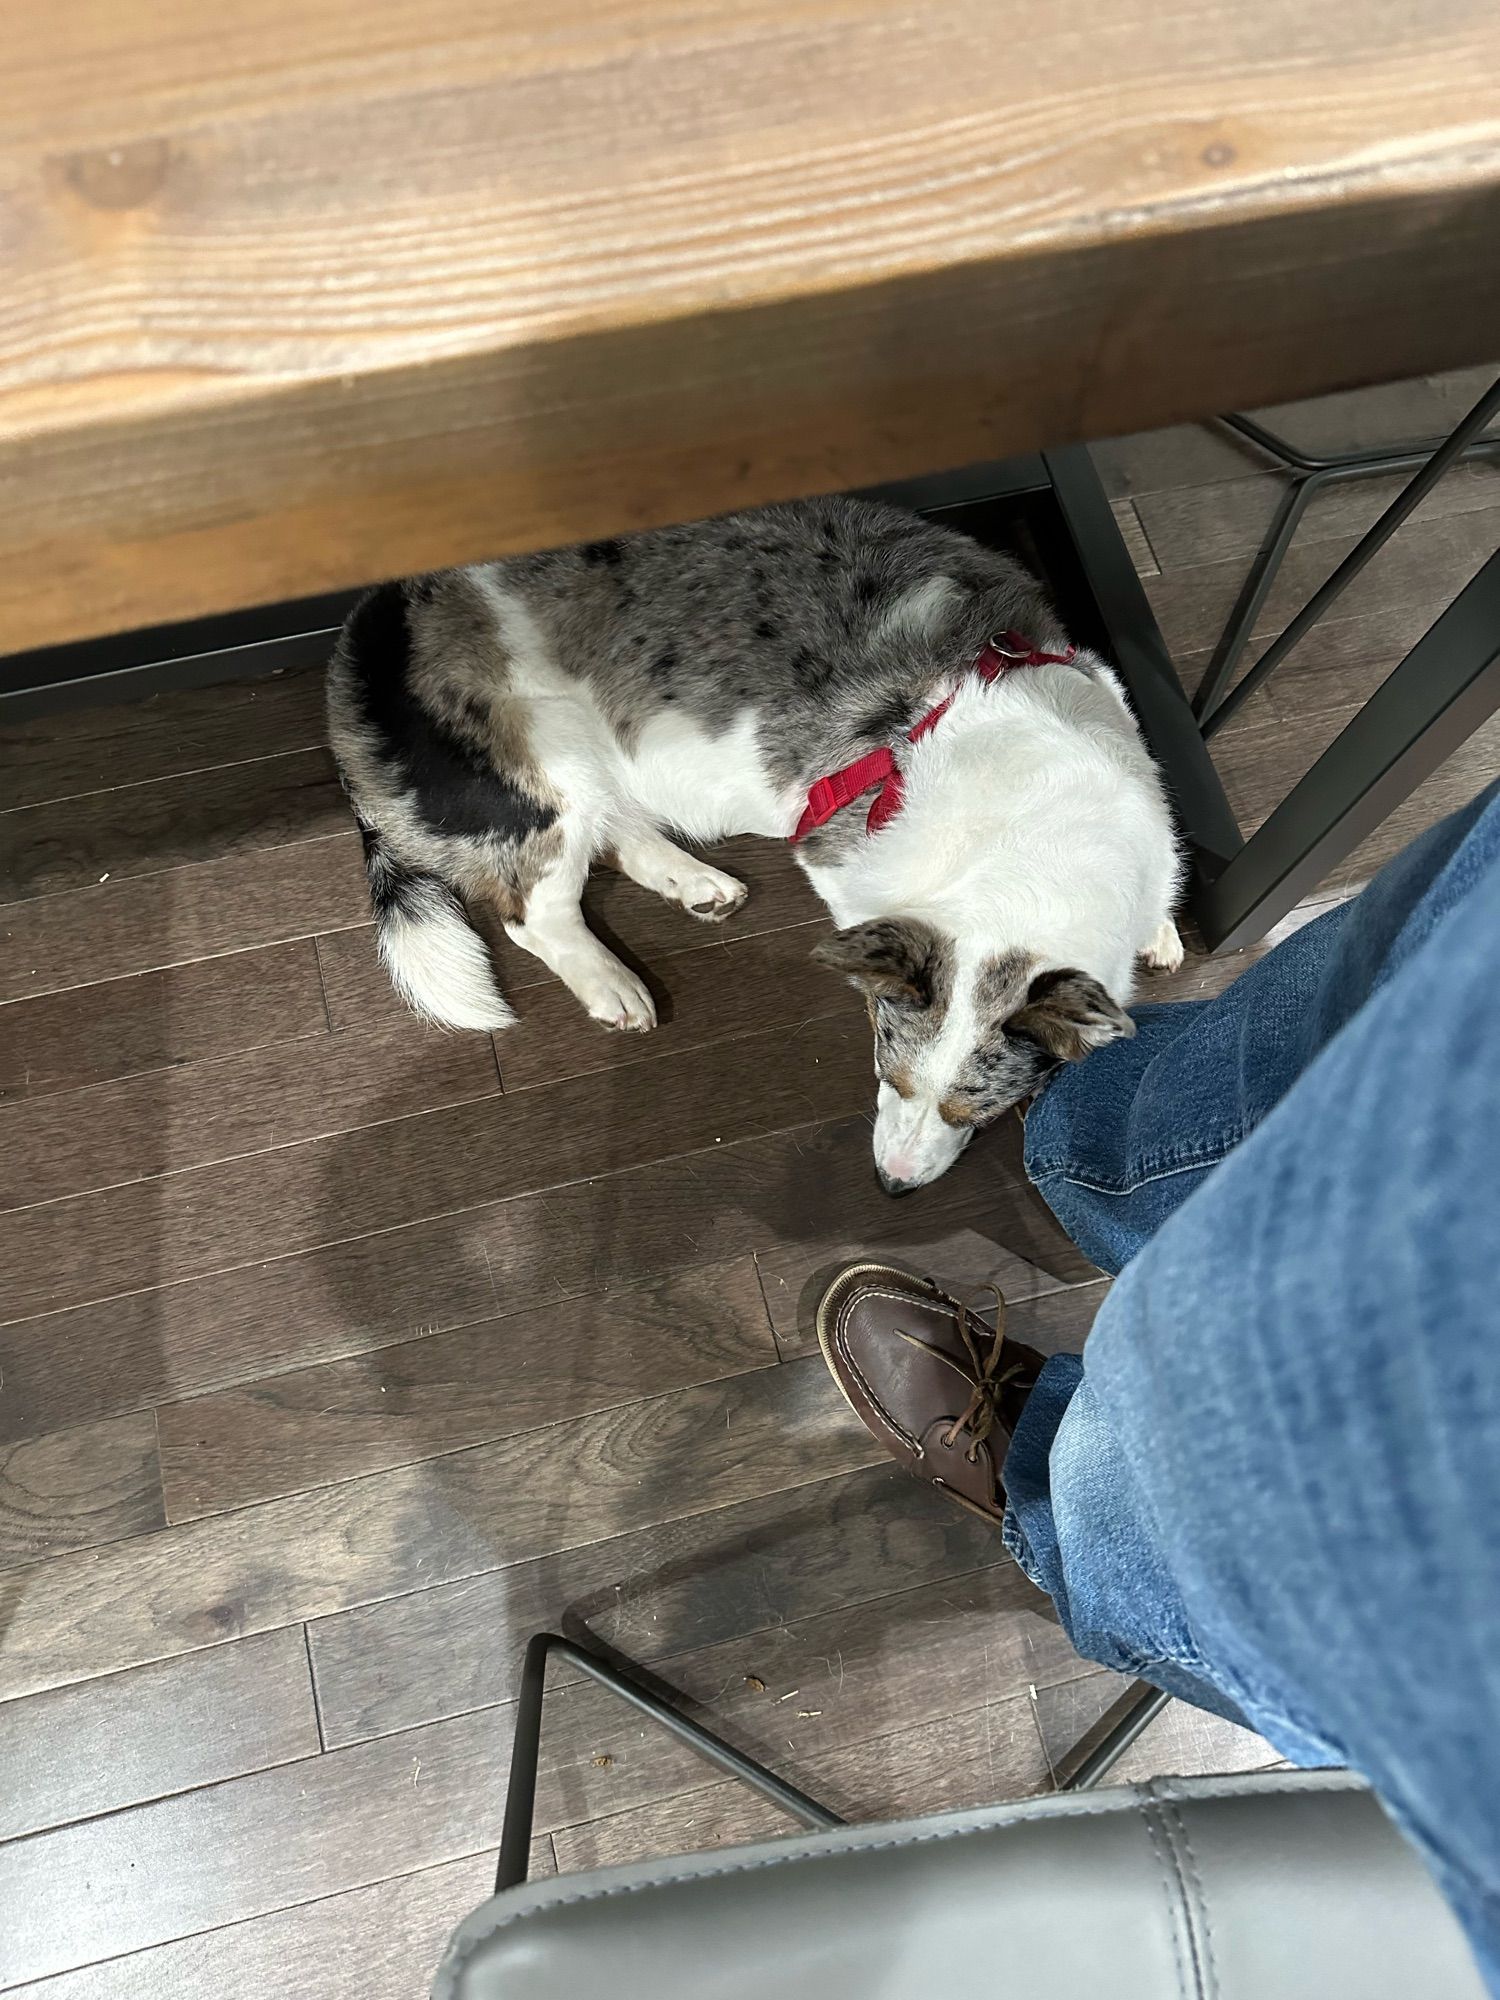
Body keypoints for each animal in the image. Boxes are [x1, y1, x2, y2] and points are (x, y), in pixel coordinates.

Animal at [328, 494, 1184, 1192]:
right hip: (548, 772)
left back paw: (696, 882)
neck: (1036, 846)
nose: (892, 1188)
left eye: (981, 1111)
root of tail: (361, 640)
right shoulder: (847, 872)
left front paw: (1163, 934)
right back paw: (613, 985)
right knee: (535, 911)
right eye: (887, 1070)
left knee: (618, 832)